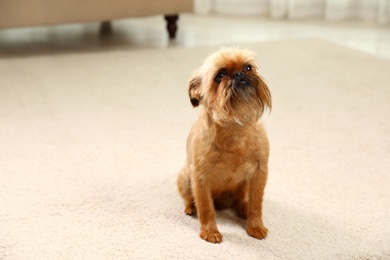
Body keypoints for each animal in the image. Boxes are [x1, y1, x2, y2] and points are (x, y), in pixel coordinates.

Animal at [177, 47, 272, 244]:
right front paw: (210, 231)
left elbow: (256, 203)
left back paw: (243, 208)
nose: (239, 74)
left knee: (243, 200)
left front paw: (255, 226)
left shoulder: (259, 173)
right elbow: (206, 207)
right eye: (219, 76)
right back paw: (191, 208)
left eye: (248, 67)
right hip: (184, 177)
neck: (234, 126)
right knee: (191, 199)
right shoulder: (200, 177)